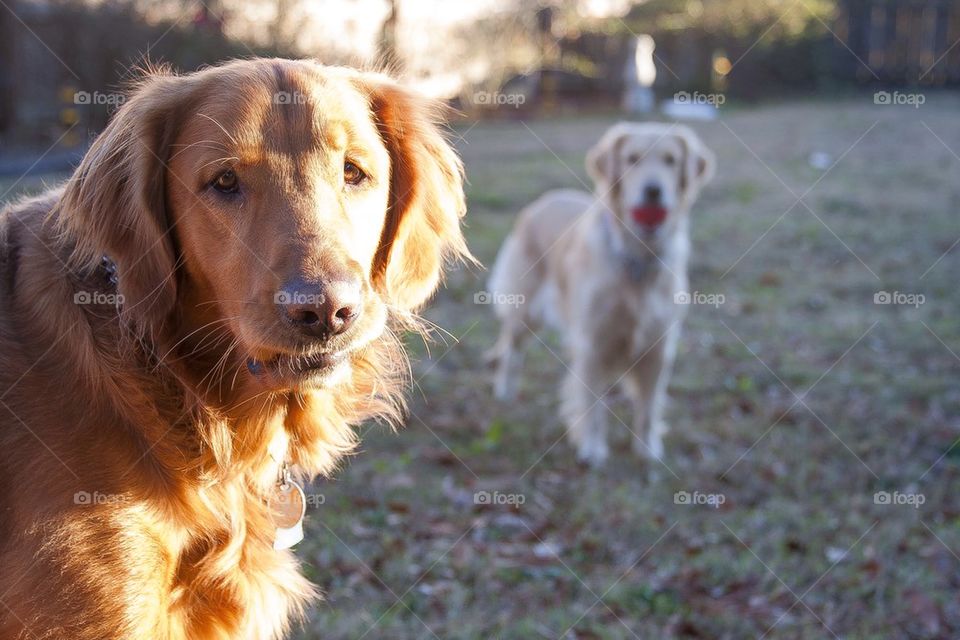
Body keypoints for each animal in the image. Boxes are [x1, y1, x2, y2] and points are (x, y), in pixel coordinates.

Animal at [488, 122, 712, 468]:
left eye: (671, 161)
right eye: (632, 159)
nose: (653, 191)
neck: (637, 258)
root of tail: (543, 200)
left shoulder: (659, 345)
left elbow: (648, 406)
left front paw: (647, 450)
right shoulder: (593, 343)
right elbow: (593, 406)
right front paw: (592, 449)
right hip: (524, 310)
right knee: (512, 351)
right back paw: (505, 390)